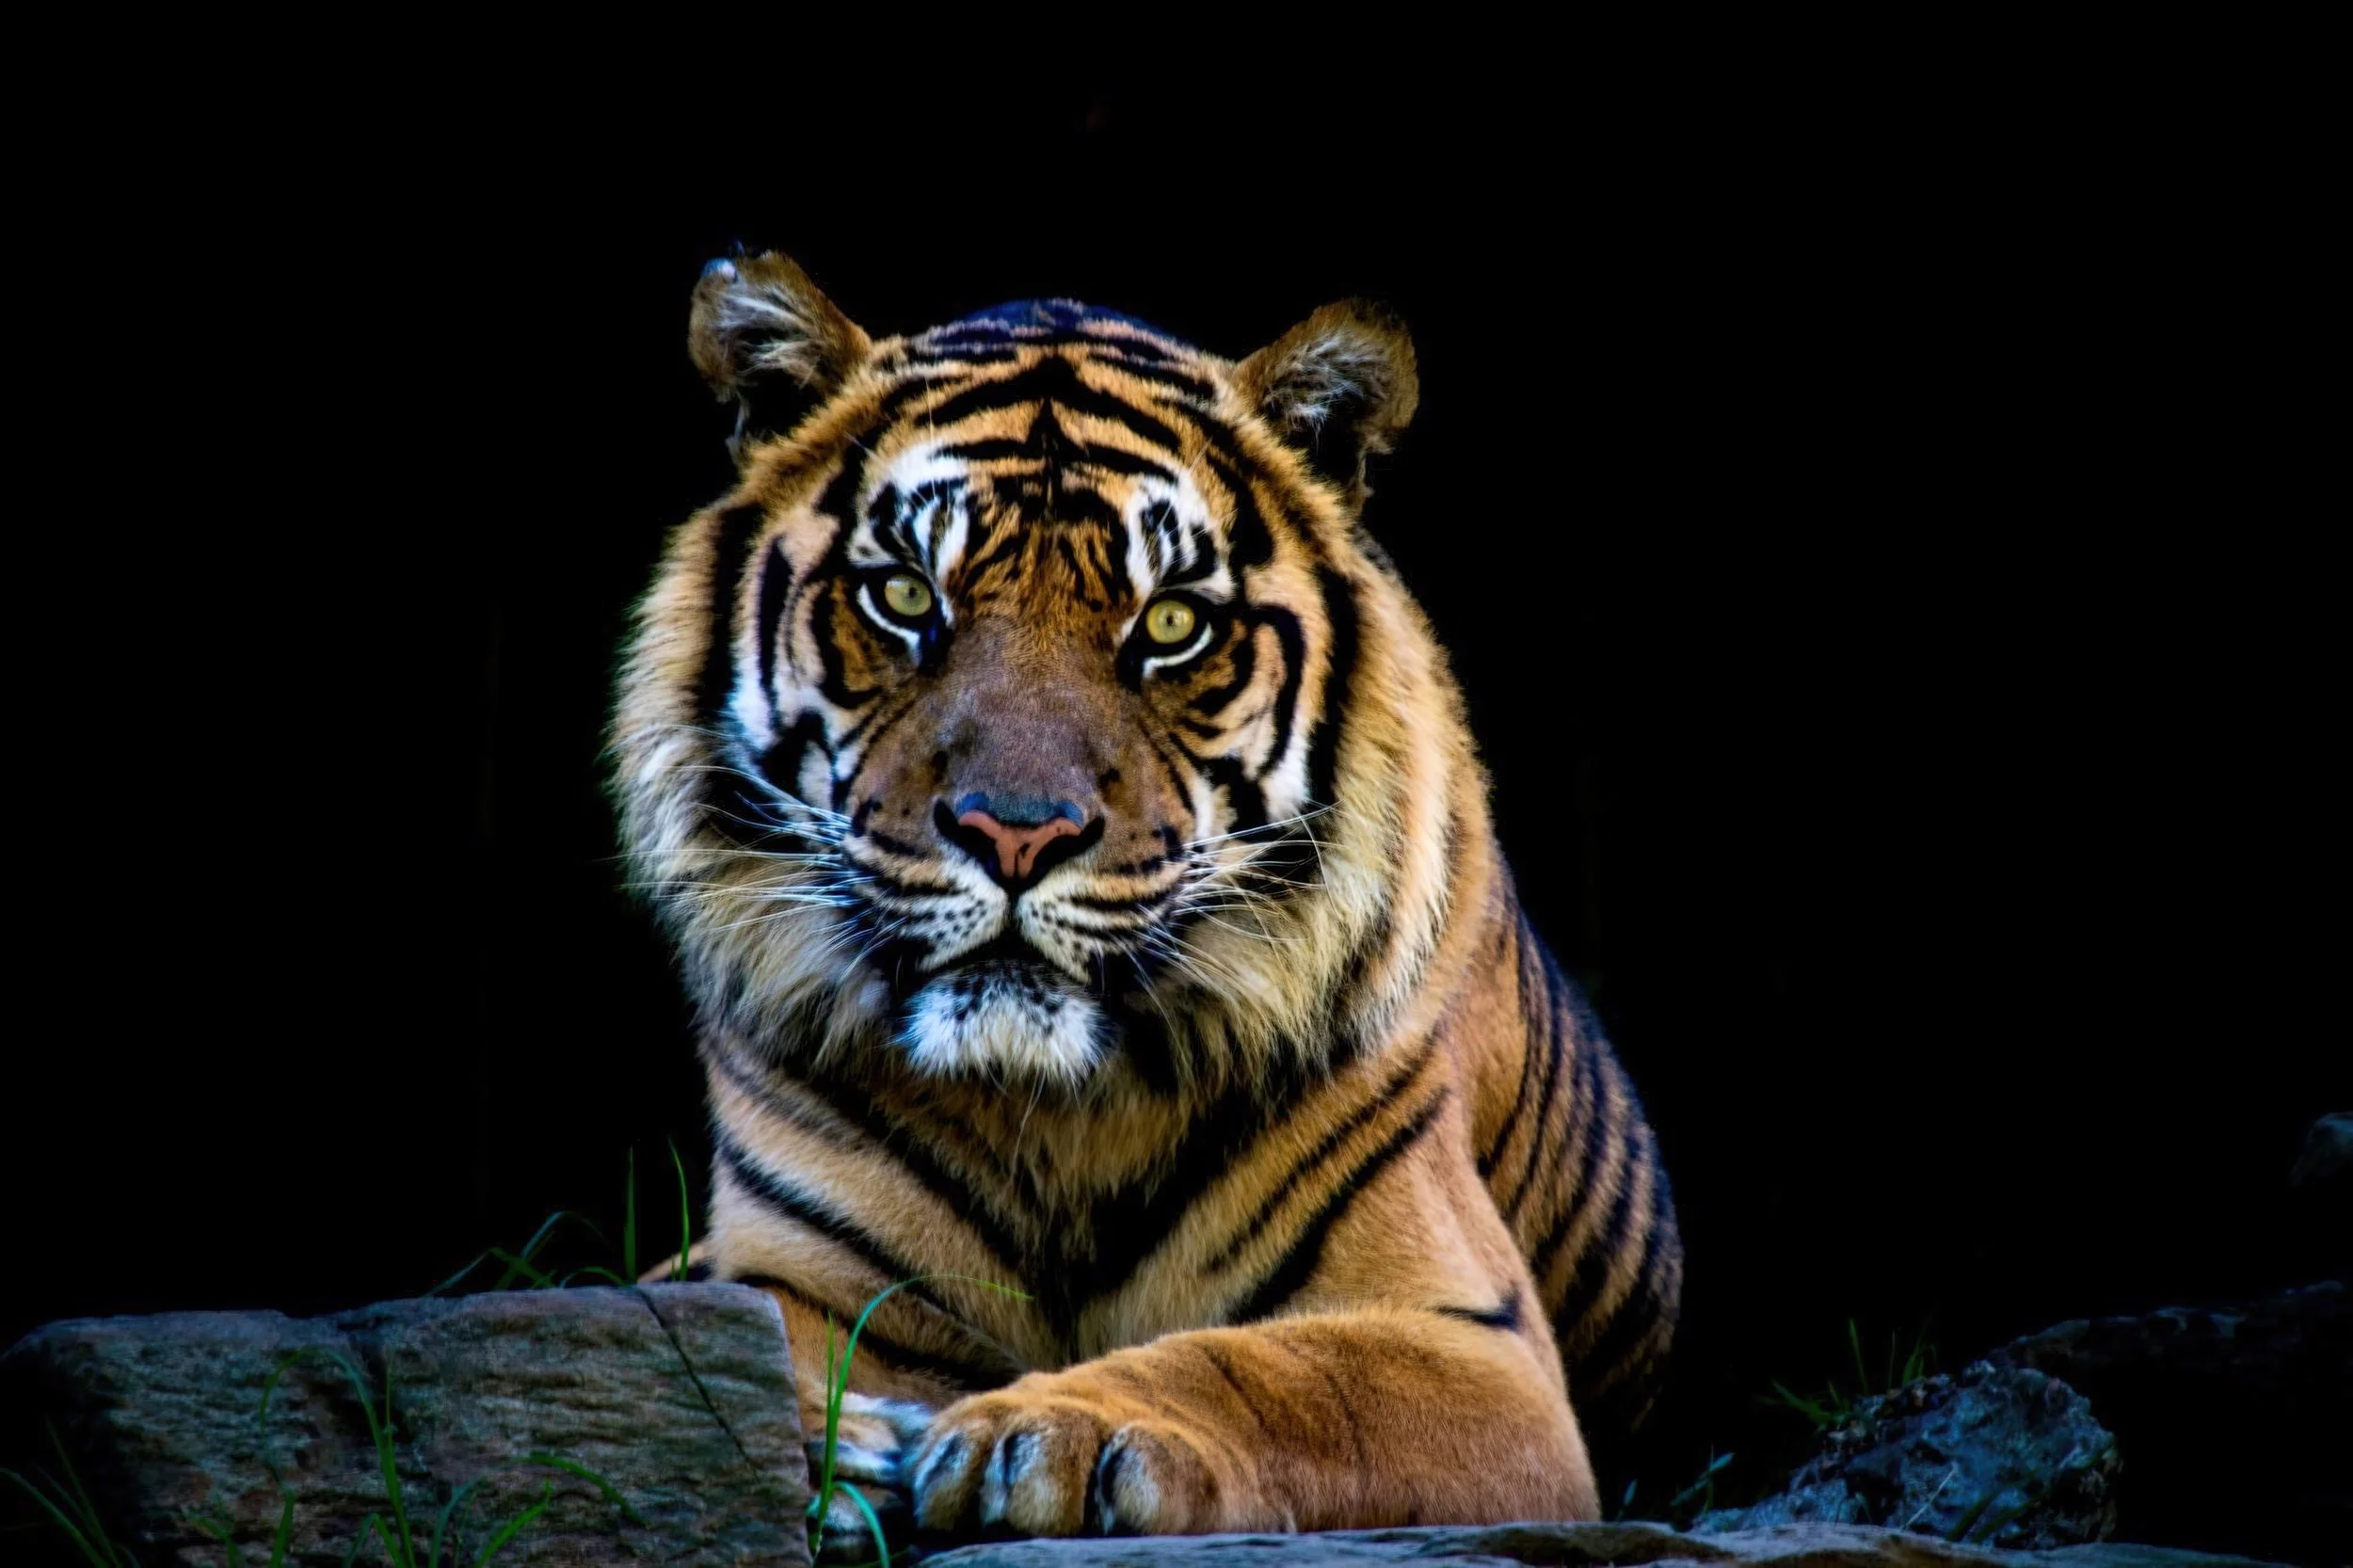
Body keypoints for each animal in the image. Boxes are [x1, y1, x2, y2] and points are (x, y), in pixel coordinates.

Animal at [612, 251, 1682, 1543]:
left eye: (1170, 624)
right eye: (907, 597)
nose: (1015, 831)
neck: (1049, 1118)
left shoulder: (1471, 1339)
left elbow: (1274, 1372)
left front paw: (1049, 1430)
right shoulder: (774, 1272)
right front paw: (843, 1445)